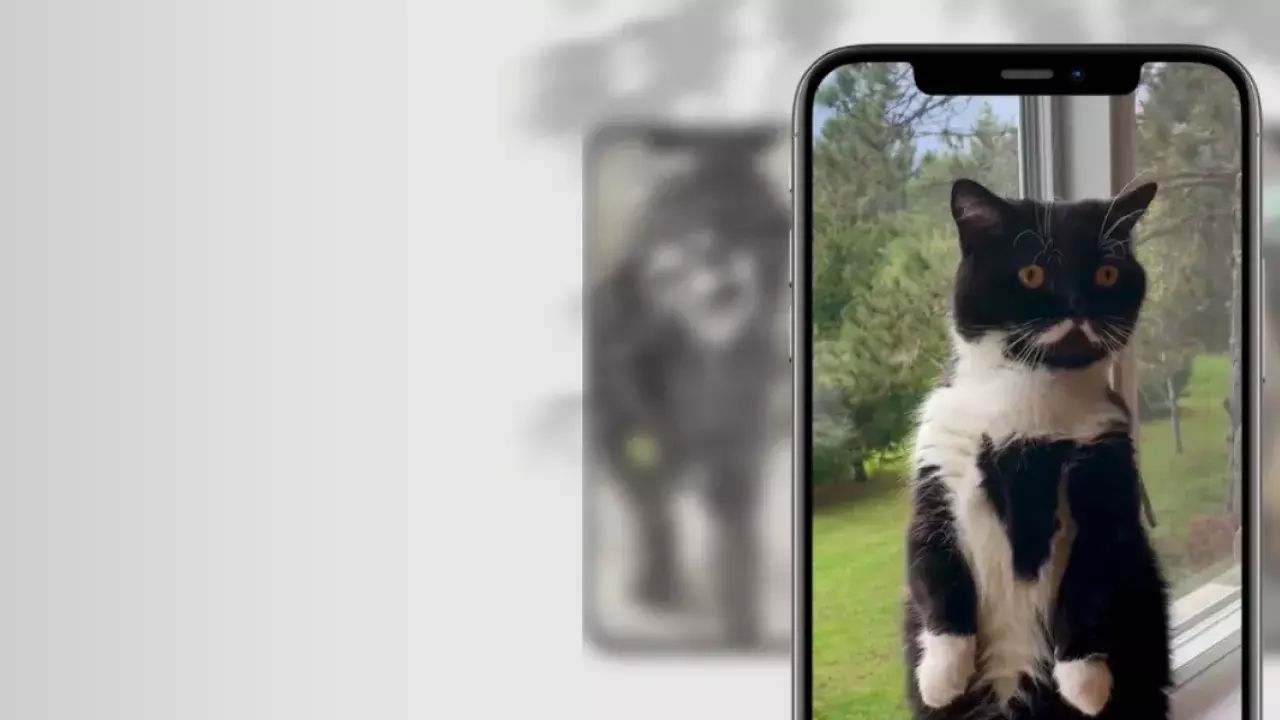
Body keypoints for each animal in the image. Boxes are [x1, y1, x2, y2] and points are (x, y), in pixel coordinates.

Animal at [906, 178, 1172, 717]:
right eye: (1031, 274)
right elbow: (935, 573)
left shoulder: (1107, 483)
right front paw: (941, 677)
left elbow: (1090, 583)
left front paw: (1086, 683)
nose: (1076, 306)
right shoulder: (938, 469)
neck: (1028, 397)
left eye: (1107, 273)